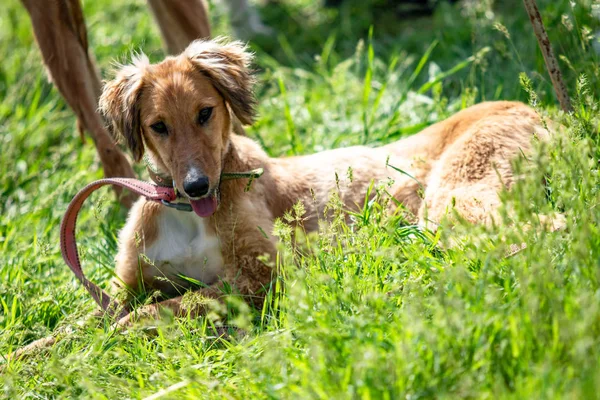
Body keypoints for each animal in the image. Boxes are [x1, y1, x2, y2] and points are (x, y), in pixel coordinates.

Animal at [98, 37, 552, 324]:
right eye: (158, 126)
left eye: (205, 113)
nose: (197, 186)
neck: (185, 213)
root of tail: (544, 111)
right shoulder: (128, 282)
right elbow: (95, 315)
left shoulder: (265, 276)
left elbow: (173, 304)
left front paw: (125, 331)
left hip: (454, 199)